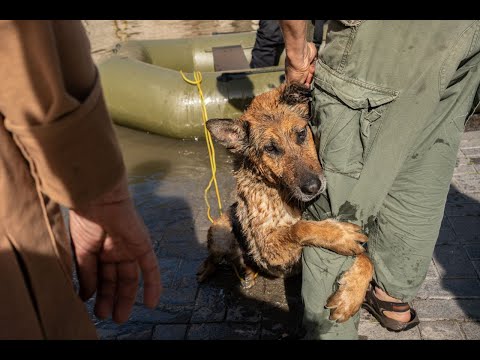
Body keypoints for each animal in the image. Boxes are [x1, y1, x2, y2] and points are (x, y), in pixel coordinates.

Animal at [197, 83, 374, 322]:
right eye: (270, 149)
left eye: (301, 134)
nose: (313, 187)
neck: (283, 193)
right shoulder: (269, 248)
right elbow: (300, 228)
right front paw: (339, 234)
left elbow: (367, 259)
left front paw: (351, 295)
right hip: (219, 232)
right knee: (215, 258)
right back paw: (210, 271)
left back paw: (248, 271)